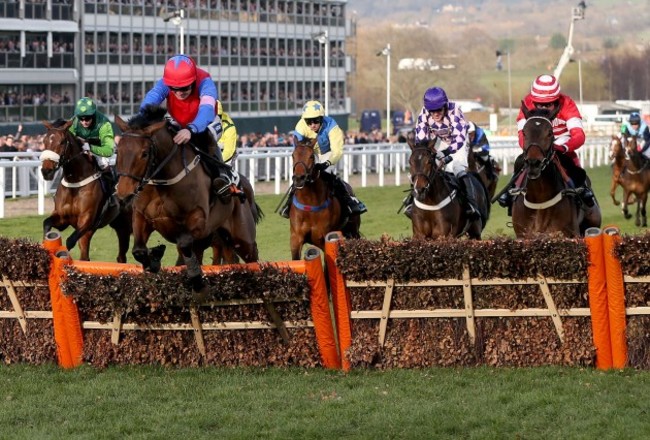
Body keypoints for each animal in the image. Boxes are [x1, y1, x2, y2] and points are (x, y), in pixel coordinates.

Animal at [39, 118, 132, 262]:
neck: (75, 182)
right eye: (44, 141)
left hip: (126, 224)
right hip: (117, 224)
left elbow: (70, 241)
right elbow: (46, 223)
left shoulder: (87, 220)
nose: (46, 171)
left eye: (62, 142)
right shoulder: (62, 218)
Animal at [115, 105, 260, 292]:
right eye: (118, 150)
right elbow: (138, 250)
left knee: (253, 259)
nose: (124, 194)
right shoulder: (141, 216)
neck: (163, 181)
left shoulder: (198, 221)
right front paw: (154, 258)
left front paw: (194, 278)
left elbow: (183, 243)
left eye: (145, 153)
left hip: (242, 238)